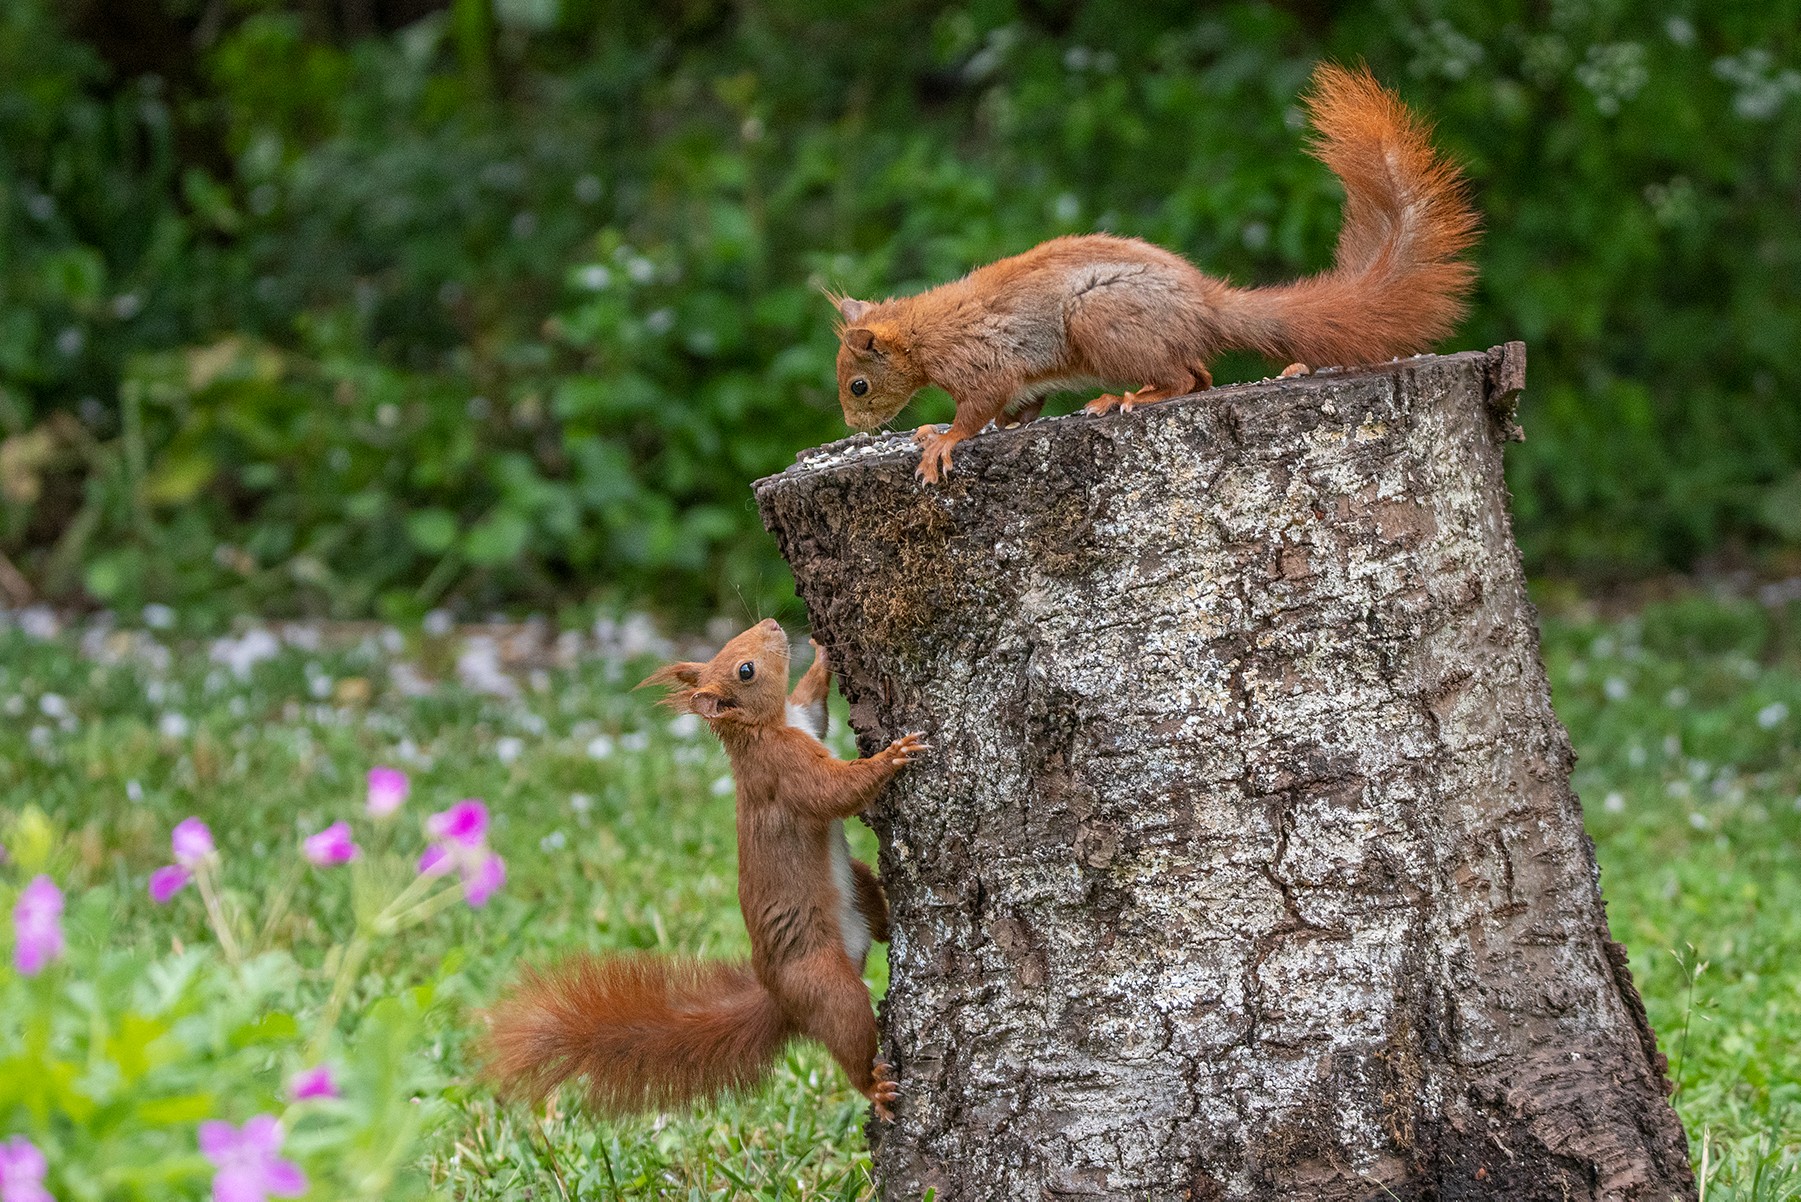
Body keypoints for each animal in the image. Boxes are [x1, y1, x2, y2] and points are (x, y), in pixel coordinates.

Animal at [482, 616, 929, 1124]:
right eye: (746, 669)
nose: (772, 623)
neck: (763, 729)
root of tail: (779, 999)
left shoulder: (803, 719)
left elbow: (814, 707)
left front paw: (821, 654)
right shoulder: (784, 773)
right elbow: (834, 792)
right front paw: (890, 756)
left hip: (855, 882)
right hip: (824, 984)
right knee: (848, 1034)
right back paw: (873, 1086)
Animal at [828, 64, 1476, 479]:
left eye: (859, 385)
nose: (856, 428)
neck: (921, 333)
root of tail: (1205, 305)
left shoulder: (980, 362)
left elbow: (977, 408)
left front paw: (942, 441)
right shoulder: (1023, 380)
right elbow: (1017, 411)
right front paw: (938, 433)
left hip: (1101, 319)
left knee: (1186, 379)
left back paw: (1127, 398)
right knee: (1201, 375)